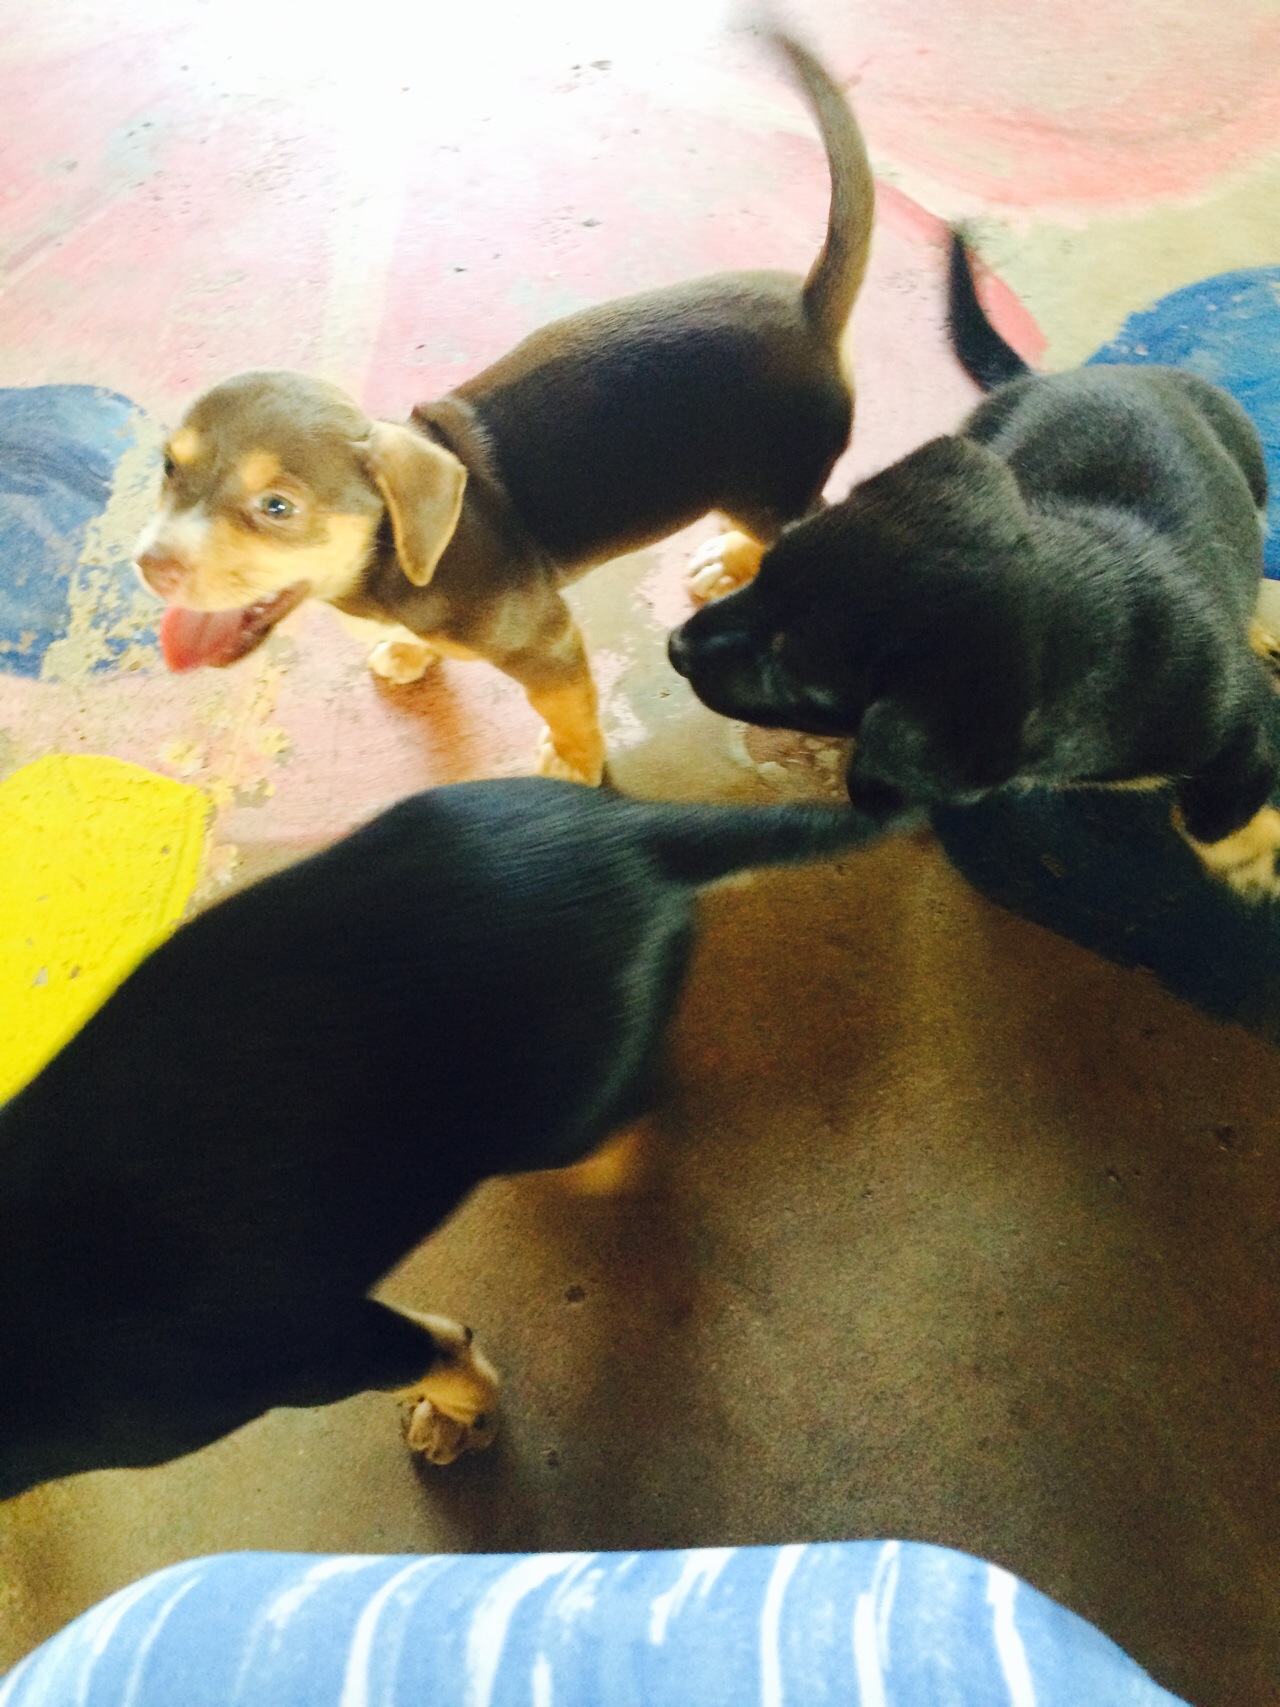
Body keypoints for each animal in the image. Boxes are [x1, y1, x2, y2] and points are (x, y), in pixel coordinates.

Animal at [0, 778, 865, 1501]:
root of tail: (619, 828)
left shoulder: (311, 1348)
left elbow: (442, 1354)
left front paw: (464, 1415)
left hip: (558, 1108)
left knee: (639, 1111)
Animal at [132, 32, 874, 787]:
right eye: (168, 468)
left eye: (277, 507)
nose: (150, 566)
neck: (391, 561)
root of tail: (810, 309)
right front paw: (411, 650)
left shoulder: (550, 644)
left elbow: (568, 712)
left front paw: (577, 765)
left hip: (770, 486)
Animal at [668, 231, 1280, 901]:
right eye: (770, 580)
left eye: (793, 675)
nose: (675, 647)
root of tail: (1052, 376)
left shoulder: (1232, 712)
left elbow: (1225, 798)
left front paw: (1253, 850)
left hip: (1249, 463)